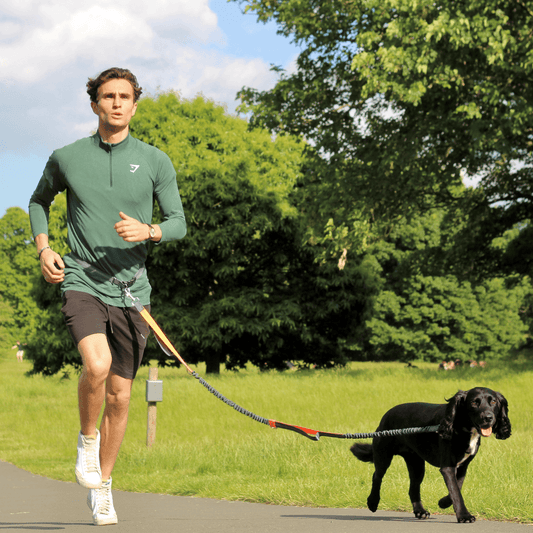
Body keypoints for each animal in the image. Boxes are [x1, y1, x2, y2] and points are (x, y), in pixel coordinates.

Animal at [352, 384, 510, 520]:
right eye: (474, 403)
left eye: (493, 401)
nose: (488, 418)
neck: (462, 427)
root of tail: (385, 416)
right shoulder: (447, 466)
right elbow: (456, 491)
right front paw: (464, 516)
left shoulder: (462, 466)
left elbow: (456, 487)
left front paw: (443, 503)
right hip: (383, 456)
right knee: (377, 476)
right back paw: (372, 503)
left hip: (416, 464)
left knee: (413, 488)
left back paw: (420, 512)